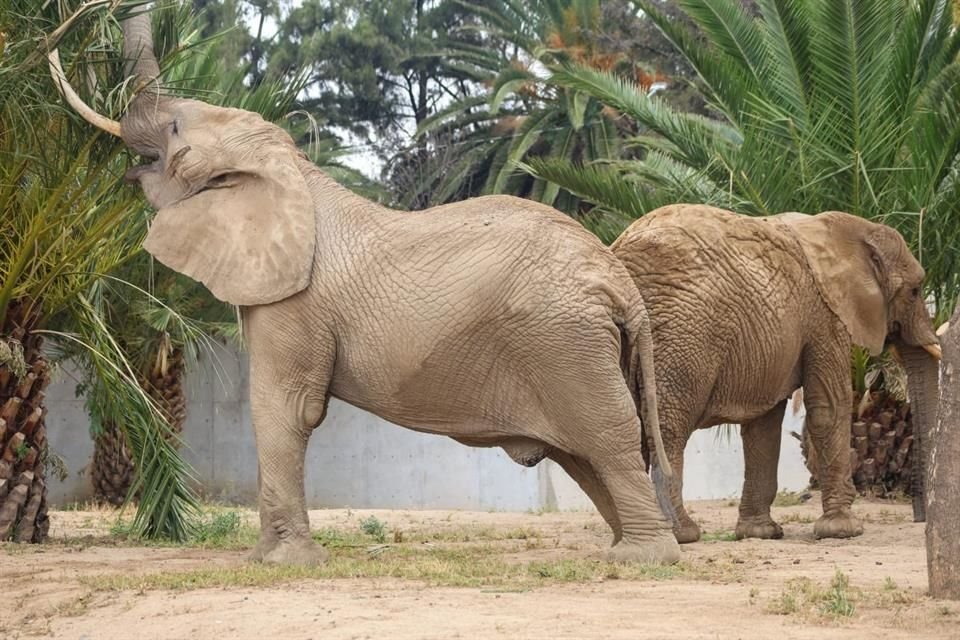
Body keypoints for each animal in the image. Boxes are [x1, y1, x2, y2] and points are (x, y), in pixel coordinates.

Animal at [48, 7, 680, 564]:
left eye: (176, 127)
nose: (70, 29)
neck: (289, 169)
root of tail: (619, 280)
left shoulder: (295, 303)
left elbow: (285, 409)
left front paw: (282, 563)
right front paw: (273, 557)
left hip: (565, 342)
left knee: (608, 439)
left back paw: (645, 557)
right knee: (584, 454)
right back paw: (632, 545)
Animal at [612, 205, 940, 544]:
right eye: (915, 291)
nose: (918, 517)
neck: (850, 228)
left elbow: (763, 426)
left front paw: (759, 532)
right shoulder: (826, 316)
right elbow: (829, 408)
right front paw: (843, 530)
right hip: (683, 338)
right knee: (668, 429)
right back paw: (681, 535)